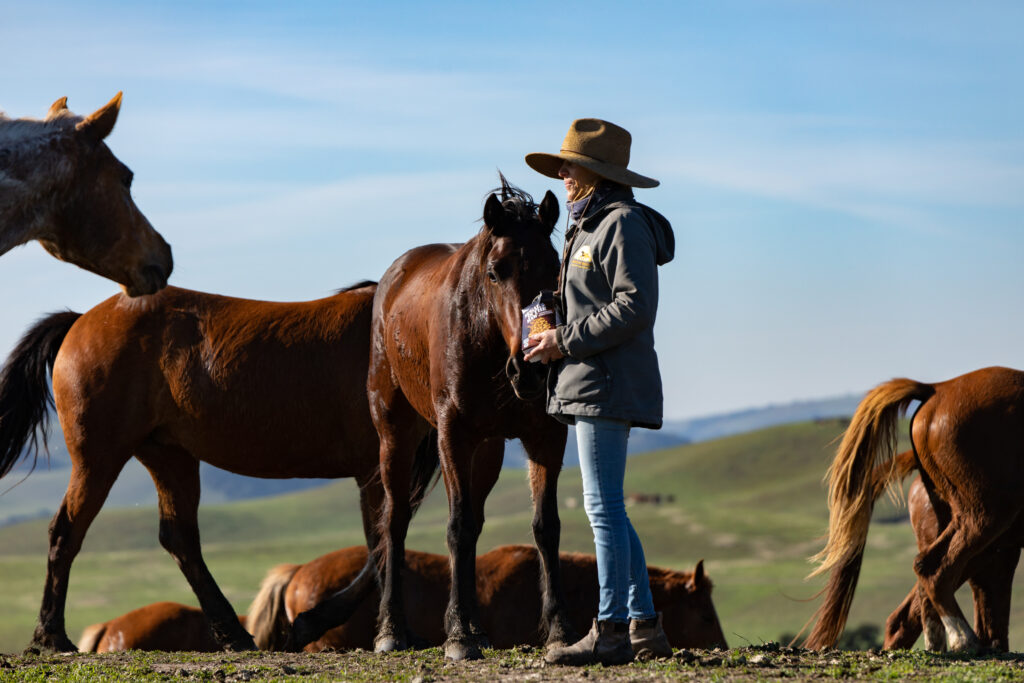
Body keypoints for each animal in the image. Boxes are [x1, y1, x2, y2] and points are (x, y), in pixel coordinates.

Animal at [0, 282, 438, 651]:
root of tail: (81, 321)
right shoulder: (376, 468)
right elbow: (384, 542)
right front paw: (388, 632)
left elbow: (383, 543)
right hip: (99, 459)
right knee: (66, 532)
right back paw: (50, 637)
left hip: (169, 456)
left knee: (179, 539)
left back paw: (233, 633)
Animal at [296, 176, 573, 663]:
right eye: (495, 271)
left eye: (552, 268)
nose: (530, 369)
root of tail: (389, 281)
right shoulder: (453, 435)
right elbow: (455, 527)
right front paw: (457, 638)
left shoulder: (544, 437)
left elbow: (545, 527)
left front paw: (557, 632)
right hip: (396, 437)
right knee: (394, 523)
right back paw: (392, 632)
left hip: (488, 450)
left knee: (472, 523)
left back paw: (475, 628)